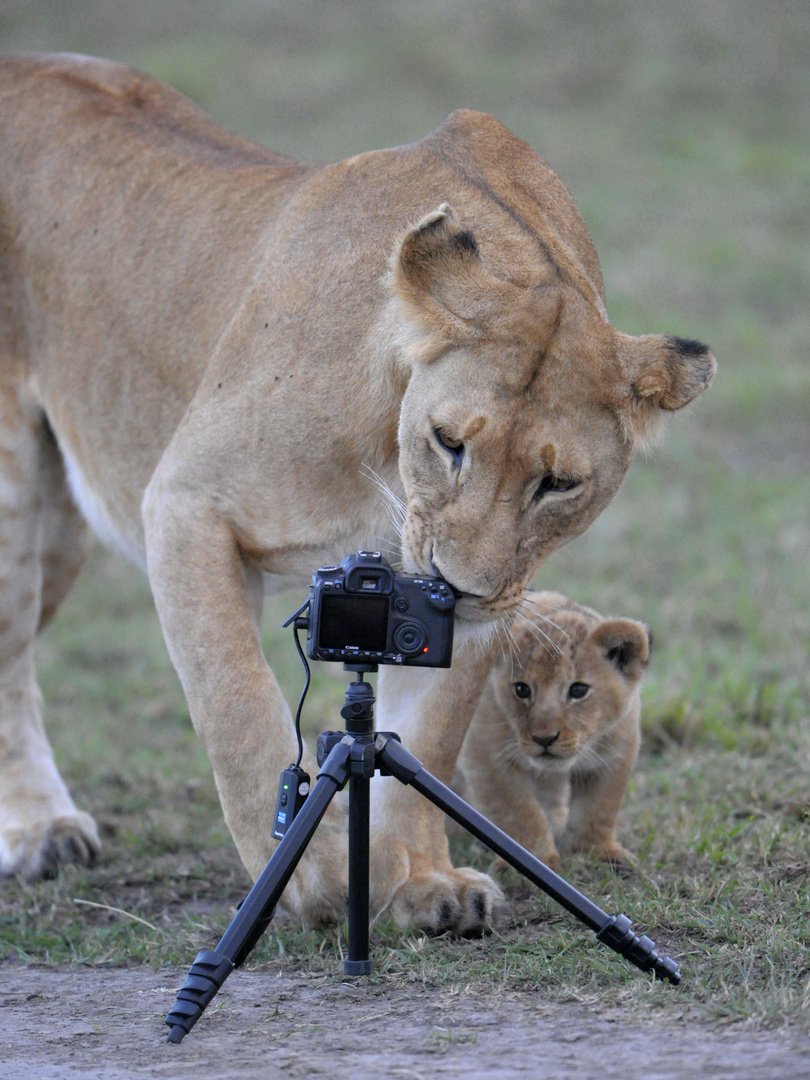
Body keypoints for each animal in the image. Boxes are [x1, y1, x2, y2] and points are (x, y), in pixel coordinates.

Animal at [0, 56, 708, 937]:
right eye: (450, 441)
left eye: (558, 484)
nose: (456, 585)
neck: (388, 468)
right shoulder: (185, 502)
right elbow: (238, 706)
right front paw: (313, 881)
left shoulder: (478, 612)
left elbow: (426, 744)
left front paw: (422, 883)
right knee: (12, 661)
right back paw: (41, 831)